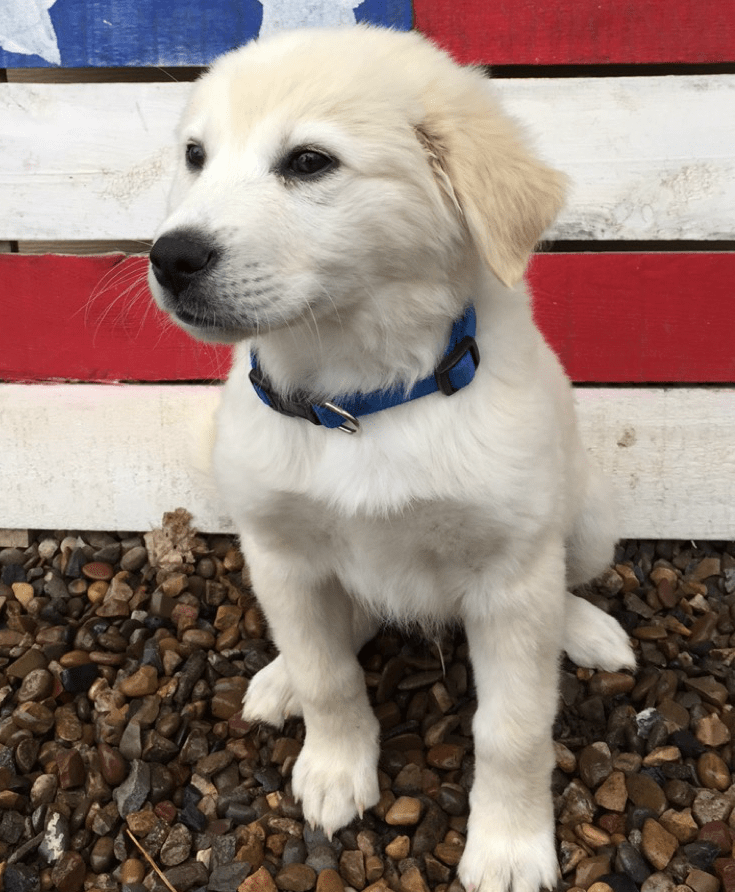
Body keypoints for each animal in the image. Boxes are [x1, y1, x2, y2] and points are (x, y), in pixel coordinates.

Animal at [148, 27, 632, 892]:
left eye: (309, 162)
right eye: (196, 156)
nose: (169, 258)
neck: (359, 398)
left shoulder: (511, 578)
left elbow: (513, 729)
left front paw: (509, 846)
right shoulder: (280, 551)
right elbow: (327, 673)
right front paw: (334, 768)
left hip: (586, 522)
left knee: (564, 585)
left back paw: (585, 630)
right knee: (339, 629)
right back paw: (278, 679)